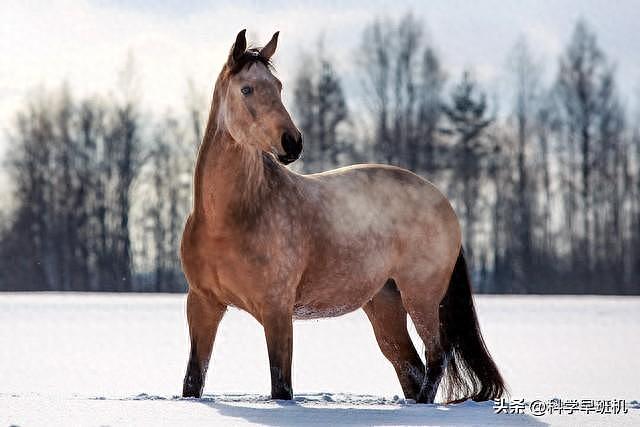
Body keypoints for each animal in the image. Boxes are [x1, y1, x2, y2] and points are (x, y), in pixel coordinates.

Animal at [180, 30, 504, 404]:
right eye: (247, 89)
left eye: (278, 86)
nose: (292, 142)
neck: (228, 219)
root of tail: (443, 202)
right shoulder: (203, 304)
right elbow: (193, 381)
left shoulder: (276, 310)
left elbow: (281, 385)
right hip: (385, 305)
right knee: (411, 367)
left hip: (421, 297)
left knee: (436, 359)